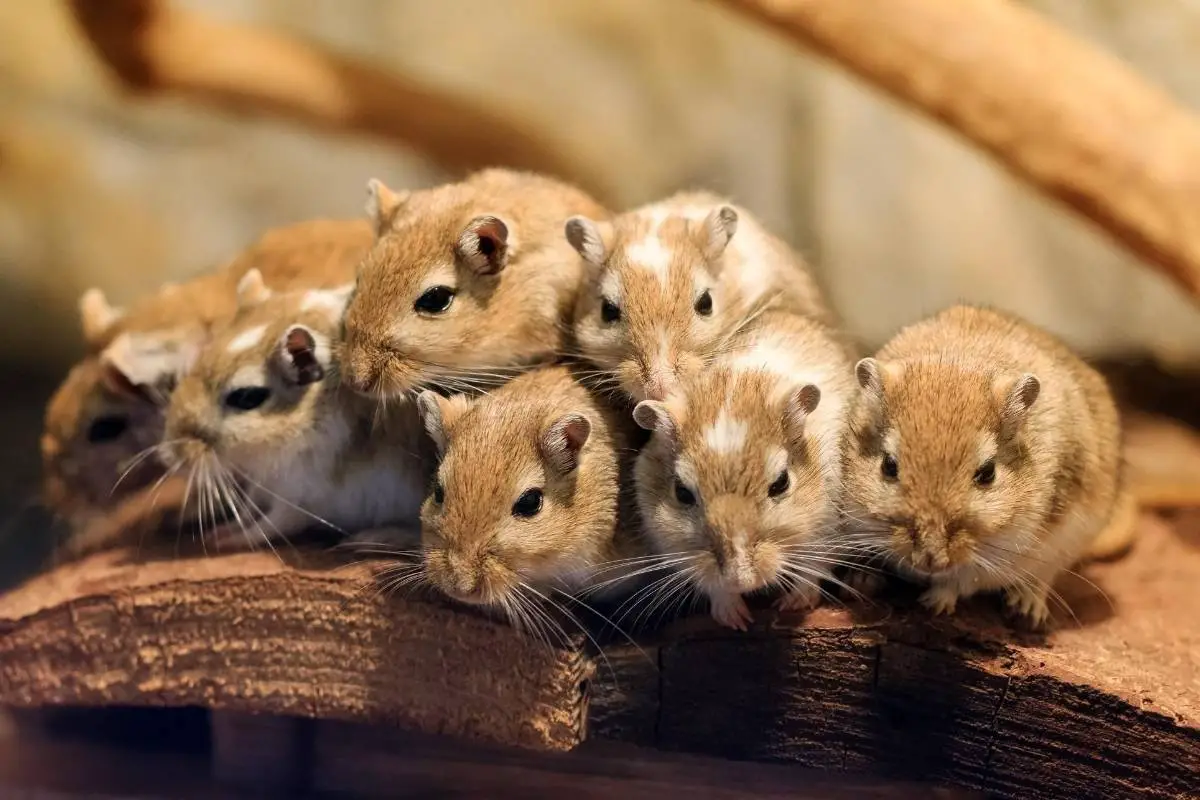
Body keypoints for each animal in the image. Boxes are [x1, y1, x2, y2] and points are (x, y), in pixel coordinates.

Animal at [159, 271, 433, 551]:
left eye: (246, 397)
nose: (167, 456)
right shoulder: (266, 483)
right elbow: (249, 509)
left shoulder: (300, 495)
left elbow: (268, 525)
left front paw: (220, 538)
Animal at [632, 310, 855, 630]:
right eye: (682, 493)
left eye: (781, 483)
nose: (741, 581)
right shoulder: (672, 544)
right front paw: (737, 619)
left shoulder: (829, 528)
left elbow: (813, 568)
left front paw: (792, 604)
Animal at [840, 304, 1126, 629]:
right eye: (889, 466)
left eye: (988, 473)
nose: (929, 560)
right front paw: (860, 579)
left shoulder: (1005, 556)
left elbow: (963, 580)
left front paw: (933, 603)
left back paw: (1027, 607)